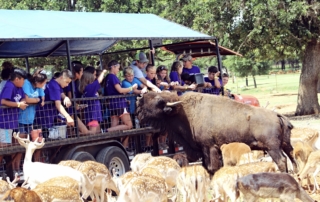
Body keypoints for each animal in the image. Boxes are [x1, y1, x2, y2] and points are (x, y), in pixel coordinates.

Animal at [136, 90, 298, 174]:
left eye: (159, 101)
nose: (139, 99)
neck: (183, 112)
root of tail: (277, 115)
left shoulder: (210, 147)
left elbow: (212, 167)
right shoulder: (203, 150)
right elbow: (206, 167)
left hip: (272, 148)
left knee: (282, 160)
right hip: (285, 144)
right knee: (292, 155)